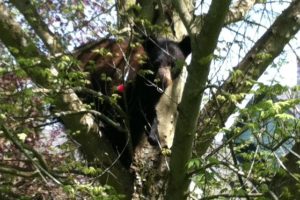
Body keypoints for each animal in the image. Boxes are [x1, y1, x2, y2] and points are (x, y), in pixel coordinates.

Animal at [76, 36, 191, 167]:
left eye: (173, 64)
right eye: (156, 63)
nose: (162, 82)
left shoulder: (150, 96)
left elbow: (147, 111)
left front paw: (153, 135)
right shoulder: (124, 82)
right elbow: (118, 113)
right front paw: (121, 148)